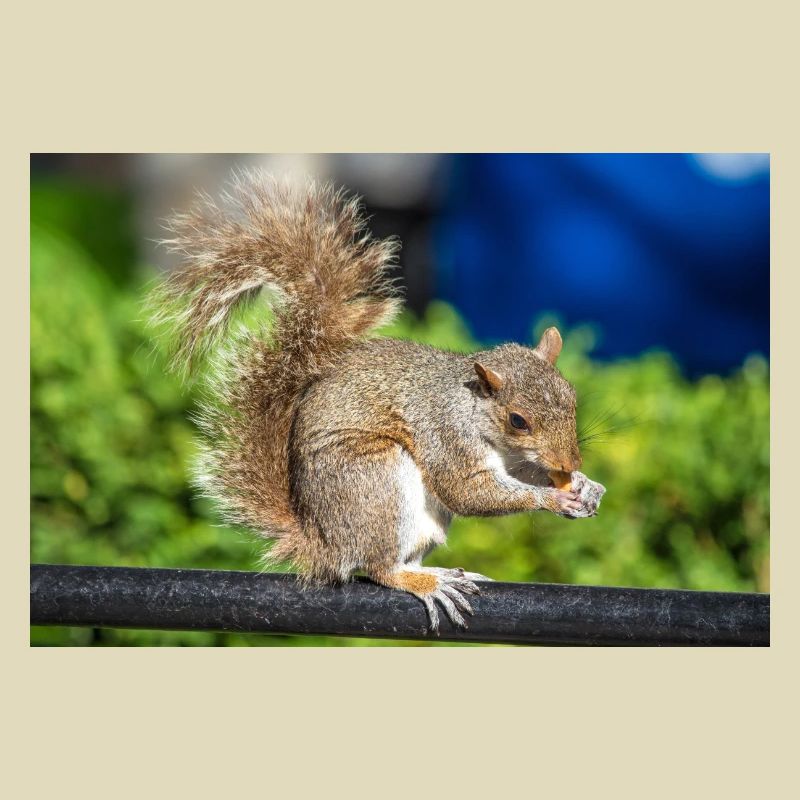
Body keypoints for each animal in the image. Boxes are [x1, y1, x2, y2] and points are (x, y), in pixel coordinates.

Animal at [149, 168, 606, 632]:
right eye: (517, 420)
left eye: (571, 398)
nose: (571, 462)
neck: (473, 409)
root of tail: (323, 543)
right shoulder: (446, 435)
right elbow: (467, 491)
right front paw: (554, 498)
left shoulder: (513, 459)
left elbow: (520, 474)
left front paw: (585, 485)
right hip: (376, 480)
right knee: (379, 567)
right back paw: (425, 582)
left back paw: (437, 572)